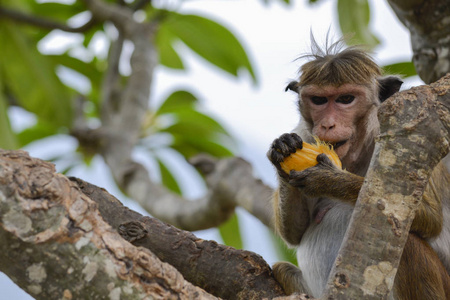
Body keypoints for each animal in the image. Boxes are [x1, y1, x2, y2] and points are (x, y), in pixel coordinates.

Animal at [268, 39, 448, 300]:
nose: (327, 124)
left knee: (408, 245)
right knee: (281, 268)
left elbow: (430, 218)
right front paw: (283, 150)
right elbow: (295, 232)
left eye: (345, 99)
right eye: (319, 101)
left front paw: (329, 180)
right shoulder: (303, 133)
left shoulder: (415, 135)